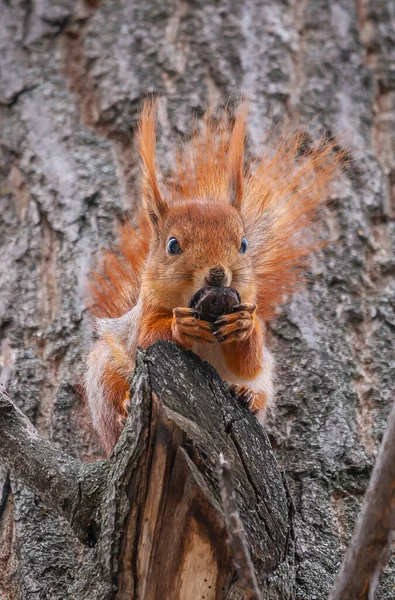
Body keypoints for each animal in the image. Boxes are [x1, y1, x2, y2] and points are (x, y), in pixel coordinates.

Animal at [84, 101, 344, 452]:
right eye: (173, 245)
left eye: (244, 245)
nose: (219, 273)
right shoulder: (145, 316)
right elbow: (148, 338)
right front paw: (180, 327)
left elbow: (249, 362)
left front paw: (244, 327)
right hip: (104, 369)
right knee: (111, 405)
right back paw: (124, 407)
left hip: (266, 381)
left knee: (256, 382)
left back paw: (247, 396)